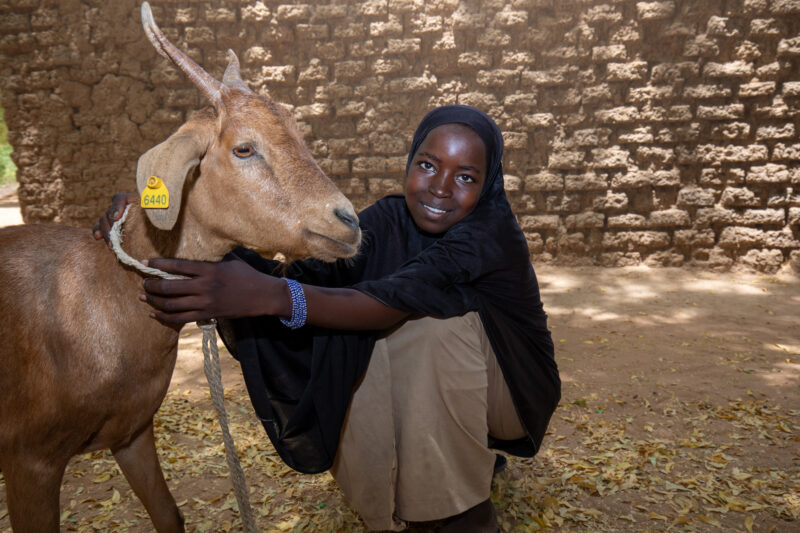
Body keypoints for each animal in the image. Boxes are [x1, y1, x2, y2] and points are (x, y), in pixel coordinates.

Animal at [0, 3, 361, 532]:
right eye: (243, 148)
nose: (349, 221)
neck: (97, 295)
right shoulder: (29, 461)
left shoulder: (132, 432)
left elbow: (170, 515)